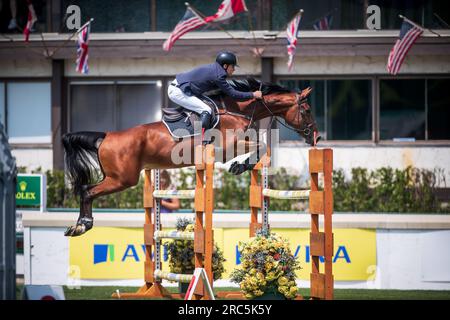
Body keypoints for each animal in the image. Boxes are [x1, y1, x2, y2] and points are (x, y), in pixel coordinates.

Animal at [62, 79, 320, 236]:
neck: (236, 110)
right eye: (307, 110)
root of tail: (106, 137)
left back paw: (78, 225)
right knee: (87, 191)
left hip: (117, 177)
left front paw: (241, 166)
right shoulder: (228, 147)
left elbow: (261, 147)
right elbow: (262, 145)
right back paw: (82, 226)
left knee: (86, 190)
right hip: (122, 179)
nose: (315, 138)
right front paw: (239, 166)